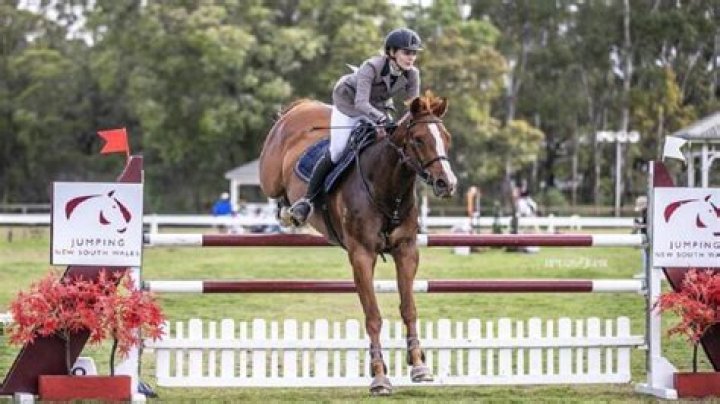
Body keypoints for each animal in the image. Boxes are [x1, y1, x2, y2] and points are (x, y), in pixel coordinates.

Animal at [259, 91, 457, 395]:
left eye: (446, 137)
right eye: (419, 139)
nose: (447, 183)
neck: (387, 186)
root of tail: (299, 108)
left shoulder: (407, 251)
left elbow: (409, 309)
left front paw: (419, 366)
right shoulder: (362, 255)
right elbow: (373, 316)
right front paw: (379, 377)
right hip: (270, 176)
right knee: (277, 193)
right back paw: (291, 212)